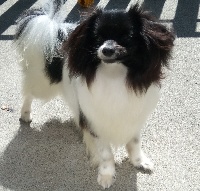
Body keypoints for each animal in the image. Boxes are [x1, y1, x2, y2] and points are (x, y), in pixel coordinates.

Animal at [14, 0, 174, 188]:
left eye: (127, 37)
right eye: (98, 38)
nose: (107, 49)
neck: (114, 75)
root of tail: (56, 33)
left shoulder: (133, 118)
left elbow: (134, 143)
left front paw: (139, 162)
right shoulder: (96, 123)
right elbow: (106, 154)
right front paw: (106, 175)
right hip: (43, 85)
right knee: (28, 94)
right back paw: (25, 114)